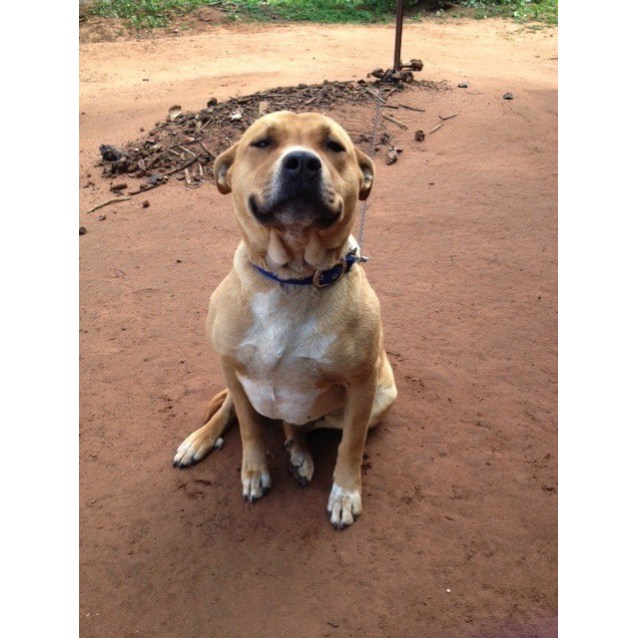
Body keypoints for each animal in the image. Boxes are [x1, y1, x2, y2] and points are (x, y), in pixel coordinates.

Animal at [172, 111, 398, 528]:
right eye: (262, 142)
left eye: (333, 146)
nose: (303, 163)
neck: (292, 279)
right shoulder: (230, 366)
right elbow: (248, 428)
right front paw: (253, 471)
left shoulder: (361, 386)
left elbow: (351, 444)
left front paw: (345, 493)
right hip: (237, 380)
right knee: (233, 408)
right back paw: (200, 439)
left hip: (379, 399)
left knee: (301, 423)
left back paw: (299, 452)